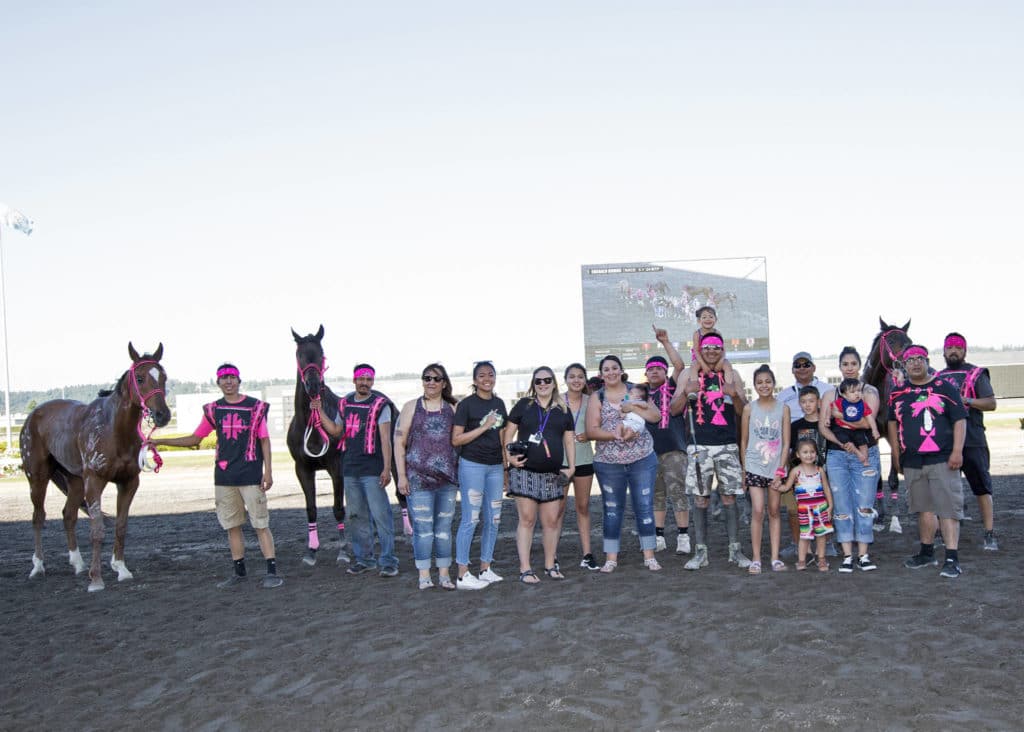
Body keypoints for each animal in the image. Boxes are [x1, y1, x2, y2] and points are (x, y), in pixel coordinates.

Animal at [20, 341, 168, 589]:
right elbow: (97, 529)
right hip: (37, 476)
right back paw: (38, 566)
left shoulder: (129, 482)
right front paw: (96, 578)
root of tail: (33, 416)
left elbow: (121, 526)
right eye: (139, 378)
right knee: (38, 517)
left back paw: (78, 564)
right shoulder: (95, 481)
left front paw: (121, 568)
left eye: (164, 376)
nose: (163, 415)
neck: (113, 429)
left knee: (68, 515)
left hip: (75, 480)